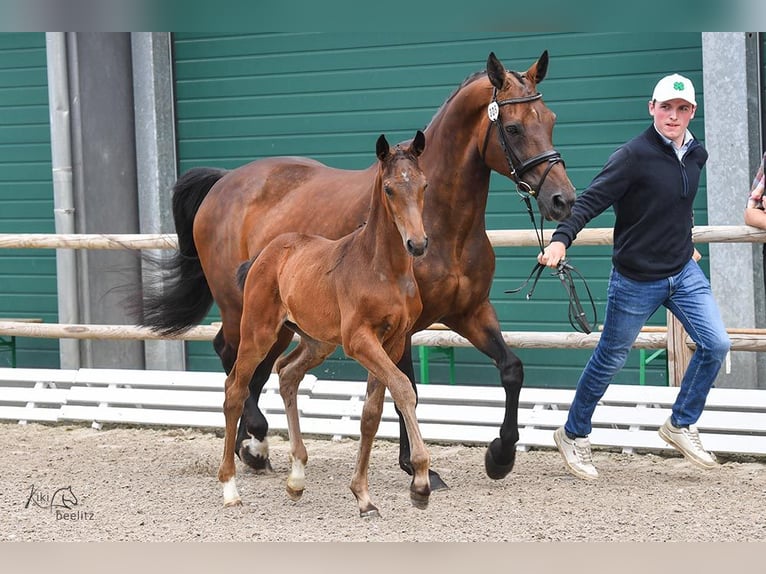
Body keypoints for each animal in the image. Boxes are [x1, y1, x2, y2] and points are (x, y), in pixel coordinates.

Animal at [219, 133, 432, 520]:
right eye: (390, 189)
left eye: (424, 185)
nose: (418, 243)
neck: (383, 269)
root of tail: (264, 254)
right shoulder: (359, 340)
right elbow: (404, 389)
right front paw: (421, 483)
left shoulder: (392, 341)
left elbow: (371, 413)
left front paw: (363, 497)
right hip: (258, 333)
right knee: (235, 391)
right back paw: (230, 489)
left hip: (317, 341)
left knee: (287, 373)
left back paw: (296, 479)